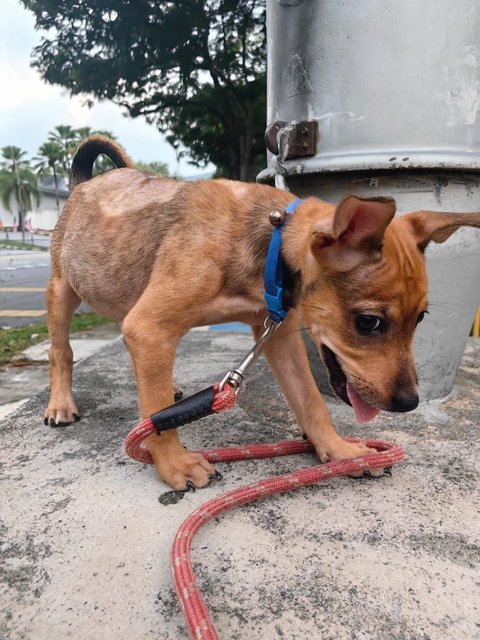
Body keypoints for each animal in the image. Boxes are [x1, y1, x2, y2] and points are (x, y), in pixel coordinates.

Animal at [45, 134, 480, 484]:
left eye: (420, 319)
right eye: (368, 322)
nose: (410, 404)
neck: (271, 245)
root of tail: (85, 183)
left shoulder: (278, 334)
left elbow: (311, 401)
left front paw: (339, 451)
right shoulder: (150, 325)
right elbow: (157, 420)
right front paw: (173, 465)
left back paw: (170, 388)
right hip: (63, 290)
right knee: (61, 351)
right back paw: (61, 404)